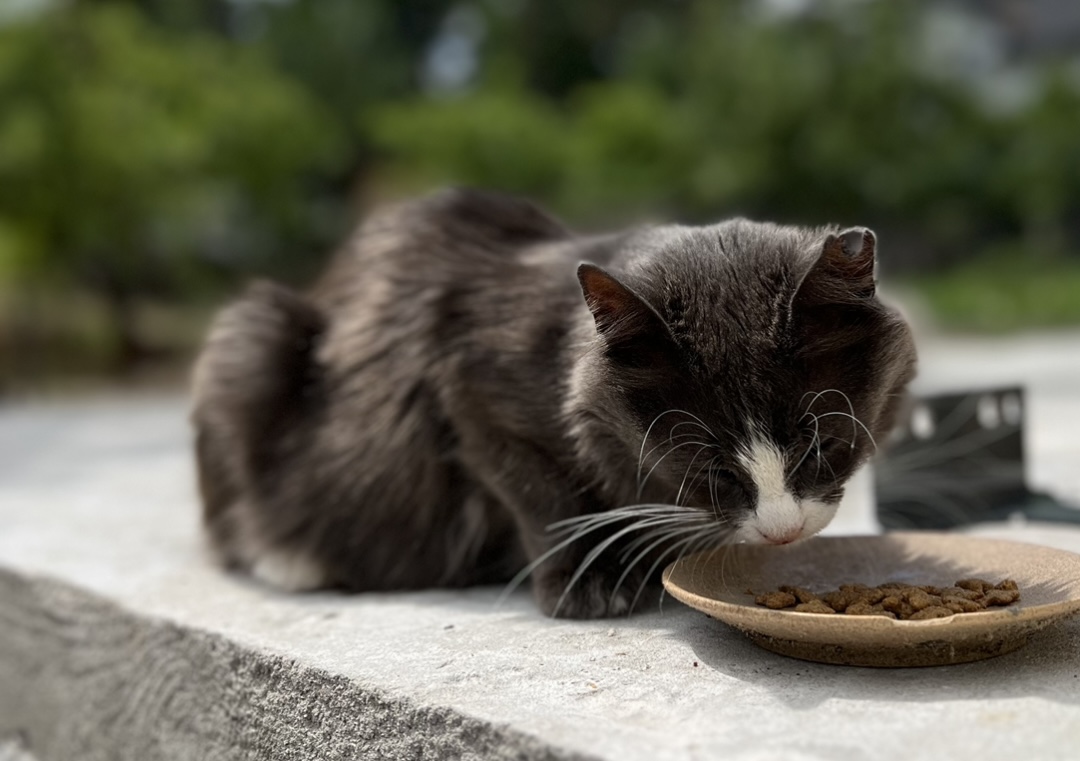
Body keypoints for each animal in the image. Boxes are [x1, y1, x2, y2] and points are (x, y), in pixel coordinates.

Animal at [190, 188, 915, 617]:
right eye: (706, 465)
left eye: (824, 442)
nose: (782, 529)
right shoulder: (468, 389)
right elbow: (542, 492)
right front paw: (590, 584)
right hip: (250, 336)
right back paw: (291, 559)